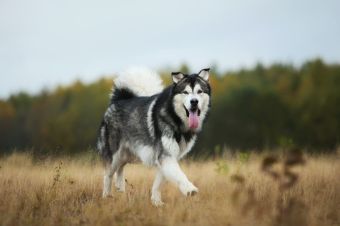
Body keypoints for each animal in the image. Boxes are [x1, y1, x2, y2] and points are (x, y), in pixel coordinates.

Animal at [97, 67, 211, 207]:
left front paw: (157, 202)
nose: (194, 101)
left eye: (200, 91)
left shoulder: (167, 158)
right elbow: (179, 174)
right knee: (107, 175)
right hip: (115, 154)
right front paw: (189, 189)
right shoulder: (166, 156)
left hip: (131, 153)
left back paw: (119, 185)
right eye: (185, 92)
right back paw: (106, 196)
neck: (175, 118)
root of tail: (118, 99)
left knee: (120, 166)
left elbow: (158, 183)